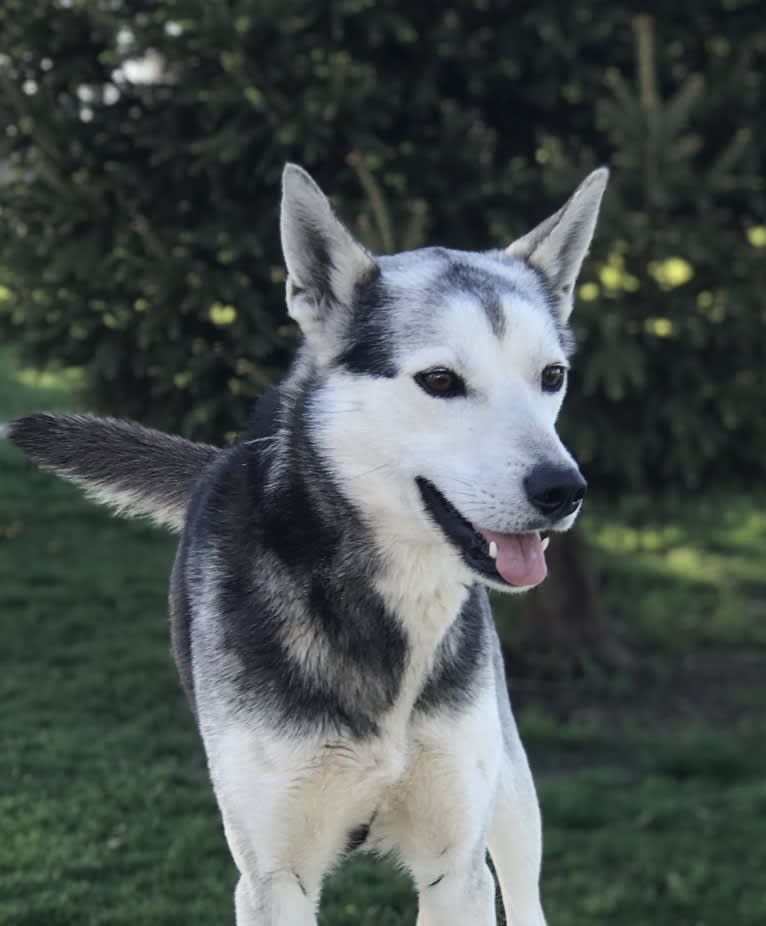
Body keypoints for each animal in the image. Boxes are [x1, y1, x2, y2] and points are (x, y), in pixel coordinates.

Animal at [7, 163, 608, 924]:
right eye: (440, 381)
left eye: (552, 377)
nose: (564, 490)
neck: (385, 601)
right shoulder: (272, 875)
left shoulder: (458, 870)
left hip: (511, 797)